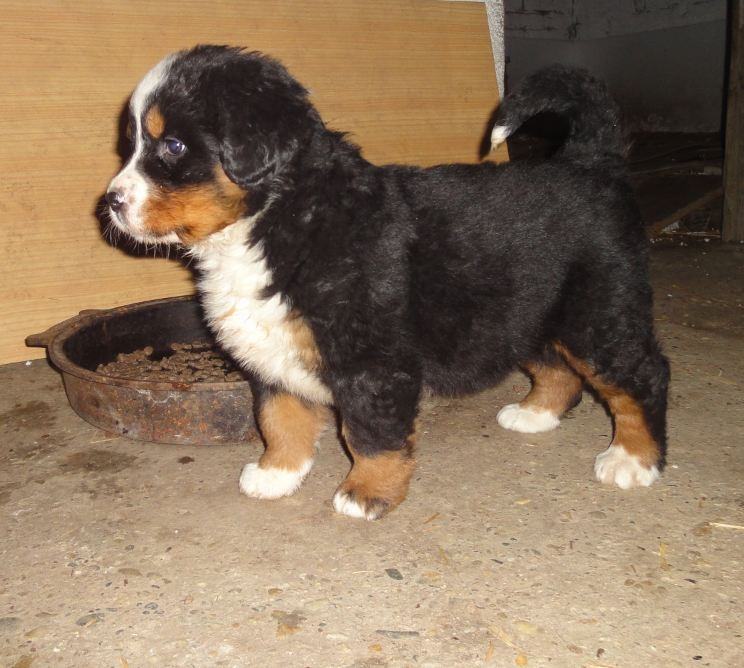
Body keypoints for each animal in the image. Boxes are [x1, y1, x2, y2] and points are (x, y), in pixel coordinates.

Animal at [106, 45, 669, 520]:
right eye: (132, 144)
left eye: (173, 145)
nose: (110, 201)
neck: (276, 218)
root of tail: (590, 163)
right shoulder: (272, 352)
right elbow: (280, 417)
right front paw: (276, 475)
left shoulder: (371, 360)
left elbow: (369, 432)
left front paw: (366, 493)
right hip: (525, 312)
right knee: (558, 368)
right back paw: (535, 414)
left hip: (598, 313)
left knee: (642, 377)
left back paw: (633, 460)